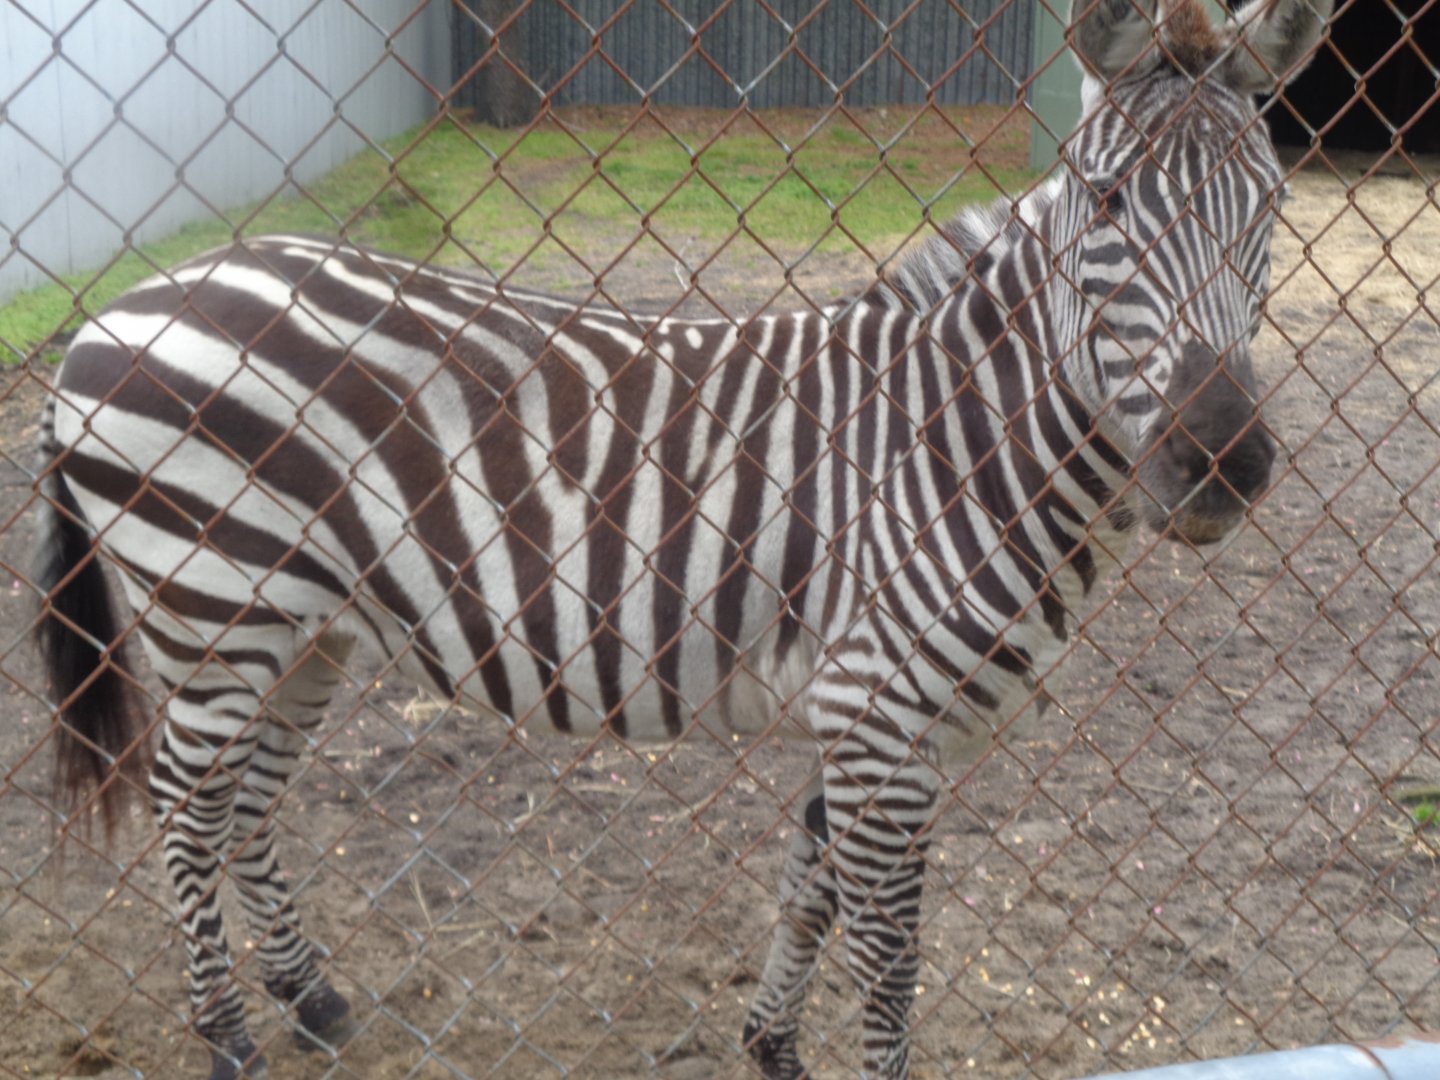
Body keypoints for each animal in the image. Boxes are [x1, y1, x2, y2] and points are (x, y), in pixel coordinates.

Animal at [31, 0, 1329, 1077]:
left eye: (1270, 209)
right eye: (1107, 205)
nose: (1224, 463)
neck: (947, 435)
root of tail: (118, 310)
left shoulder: (856, 714)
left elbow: (811, 891)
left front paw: (771, 1047)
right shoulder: (882, 715)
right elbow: (890, 959)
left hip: (303, 630)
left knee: (245, 804)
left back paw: (310, 1001)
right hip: (215, 606)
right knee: (186, 806)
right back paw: (230, 1036)